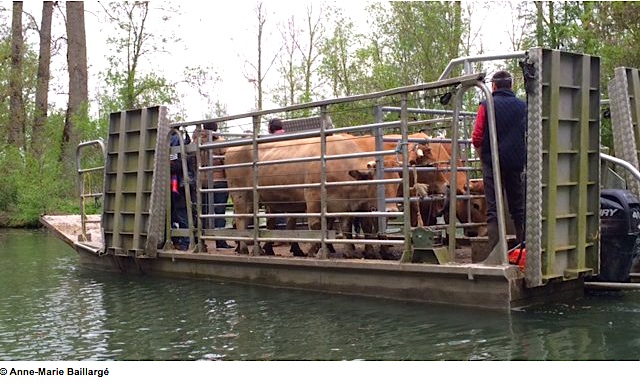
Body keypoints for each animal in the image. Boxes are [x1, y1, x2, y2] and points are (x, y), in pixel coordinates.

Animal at [225, 134, 384, 258]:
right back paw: (245, 249)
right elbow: (316, 226)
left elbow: (346, 227)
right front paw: (318, 251)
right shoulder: (312, 196)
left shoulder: (344, 204)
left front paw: (349, 252)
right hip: (240, 194)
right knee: (241, 219)